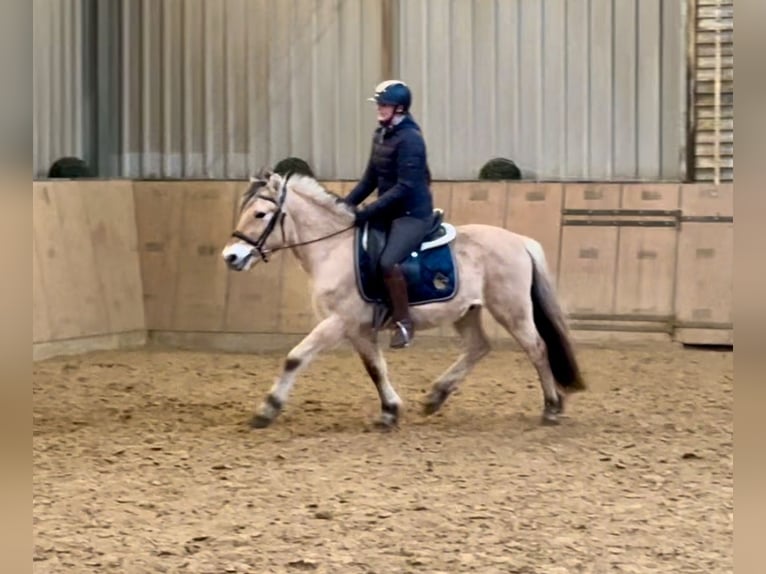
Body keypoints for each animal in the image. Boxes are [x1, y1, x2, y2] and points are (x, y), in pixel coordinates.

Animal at [222, 169, 588, 430]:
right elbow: (375, 368)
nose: (231, 257)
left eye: (260, 214)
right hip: (466, 310)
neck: (333, 248)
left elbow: (294, 358)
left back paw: (551, 408)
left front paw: (267, 409)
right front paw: (389, 411)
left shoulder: (338, 322)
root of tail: (520, 241)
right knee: (478, 347)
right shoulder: (358, 328)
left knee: (537, 348)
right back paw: (436, 397)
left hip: (510, 309)